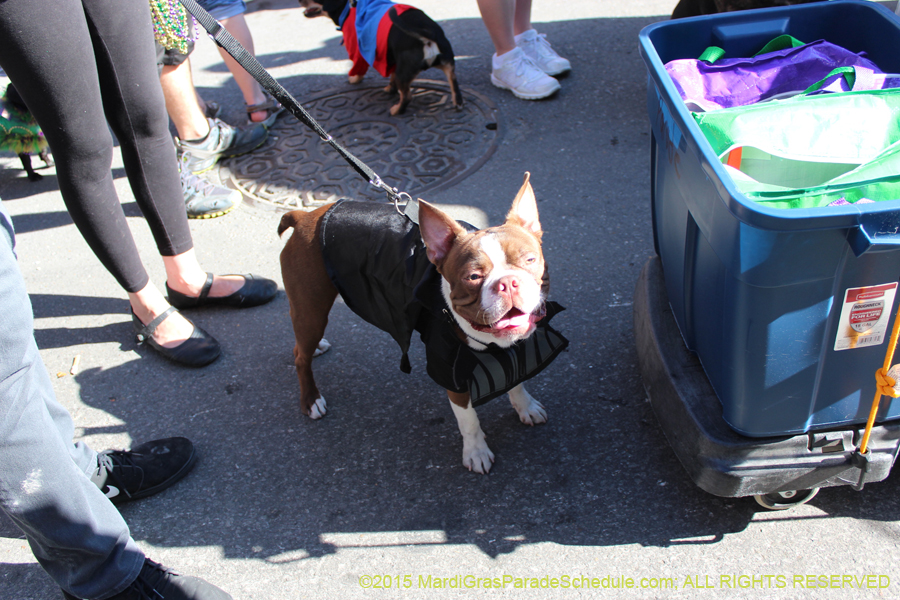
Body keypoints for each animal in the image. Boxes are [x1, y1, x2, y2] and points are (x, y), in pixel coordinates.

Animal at [280, 173, 564, 474]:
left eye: (530, 260)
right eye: (473, 276)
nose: (508, 283)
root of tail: (304, 217)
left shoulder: (515, 350)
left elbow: (517, 381)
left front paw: (525, 407)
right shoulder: (451, 374)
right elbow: (469, 421)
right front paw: (476, 452)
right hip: (311, 309)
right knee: (300, 357)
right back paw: (311, 399)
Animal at [298, 0, 460, 115]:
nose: (299, 0)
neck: (348, 7)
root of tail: (429, 33)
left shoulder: (358, 52)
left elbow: (358, 69)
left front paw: (354, 79)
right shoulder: (393, 58)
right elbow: (391, 77)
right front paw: (389, 88)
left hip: (404, 72)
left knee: (406, 96)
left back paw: (396, 110)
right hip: (448, 66)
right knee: (454, 85)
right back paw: (458, 103)